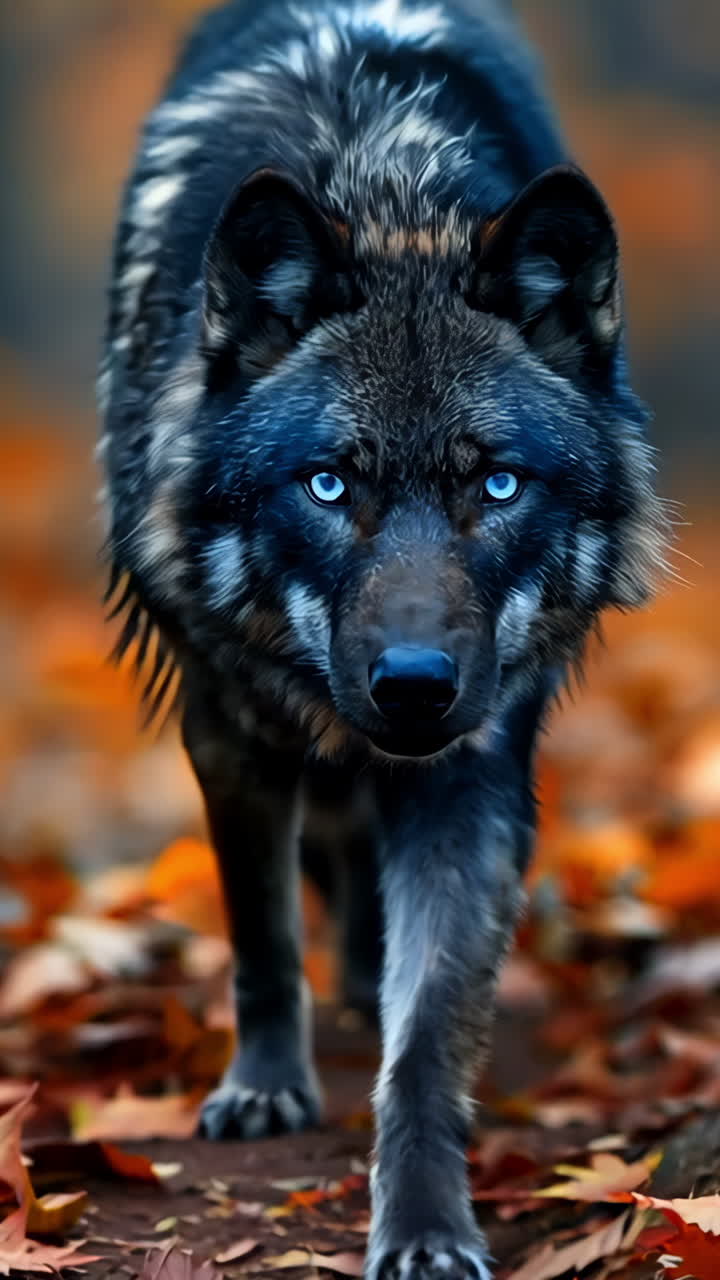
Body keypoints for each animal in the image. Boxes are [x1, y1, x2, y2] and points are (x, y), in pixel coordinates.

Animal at [99, 0, 665, 1275]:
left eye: (497, 484)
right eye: (328, 483)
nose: (413, 685)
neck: (383, 179)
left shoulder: (474, 771)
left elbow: (428, 1042)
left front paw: (424, 1222)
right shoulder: (229, 724)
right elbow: (262, 937)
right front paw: (266, 1088)